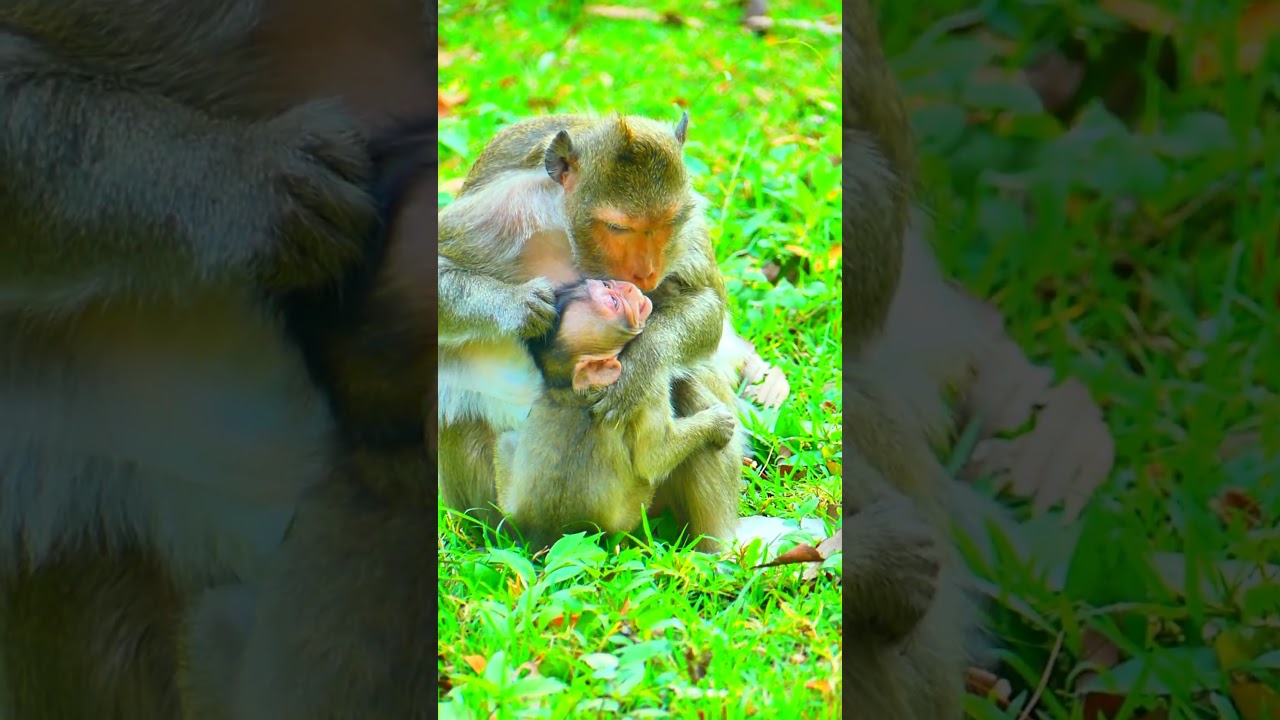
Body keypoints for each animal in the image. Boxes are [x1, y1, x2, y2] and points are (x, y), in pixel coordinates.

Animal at [493, 278, 738, 552]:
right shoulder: (650, 388)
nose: (627, 287)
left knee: (505, 439)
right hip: (630, 515)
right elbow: (652, 458)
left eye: (606, 285)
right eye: (613, 302)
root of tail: (548, 537)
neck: (576, 388)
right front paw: (717, 422)